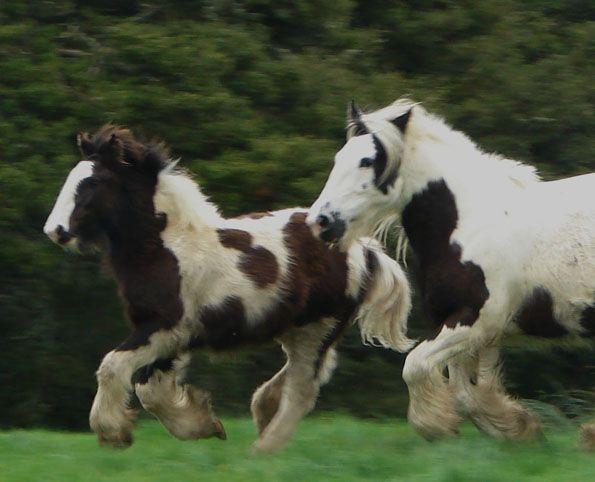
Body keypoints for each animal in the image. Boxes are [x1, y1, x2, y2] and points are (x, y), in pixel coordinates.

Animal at [44, 126, 414, 454]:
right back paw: (263, 415)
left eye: (92, 182)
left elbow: (113, 366)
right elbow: (151, 389)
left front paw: (113, 433)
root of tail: (366, 250)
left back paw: (263, 449)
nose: (55, 230)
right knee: (300, 378)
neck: (167, 247)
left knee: (302, 391)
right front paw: (205, 425)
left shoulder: (165, 328)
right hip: (299, 330)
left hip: (317, 328)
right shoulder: (168, 336)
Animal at [308, 99, 595, 448]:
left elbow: (415, 366)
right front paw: (519, 427)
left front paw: (436, 426)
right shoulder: (465, 328)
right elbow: (467, 393)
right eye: (339, 158)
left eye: (368, 161)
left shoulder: (474, 320)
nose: (321, 222)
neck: (467, 222)